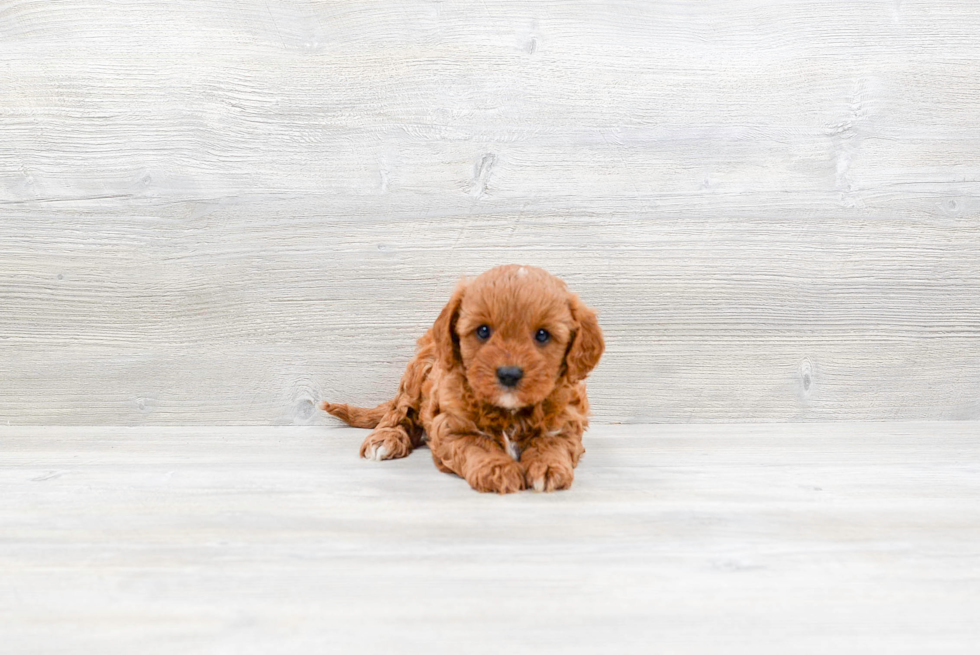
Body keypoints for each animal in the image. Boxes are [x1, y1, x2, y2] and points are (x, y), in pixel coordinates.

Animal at [322, 264, 600, 494]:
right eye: (483, 331)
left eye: (542, 335)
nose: (509, 374)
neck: (510, 412)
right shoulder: (449, 426)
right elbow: (476, 443)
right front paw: (497, 469)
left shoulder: (568, 421)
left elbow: (552, 443)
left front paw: (549, 467)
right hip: (417, 374)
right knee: (400, 413)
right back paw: (386, 439)